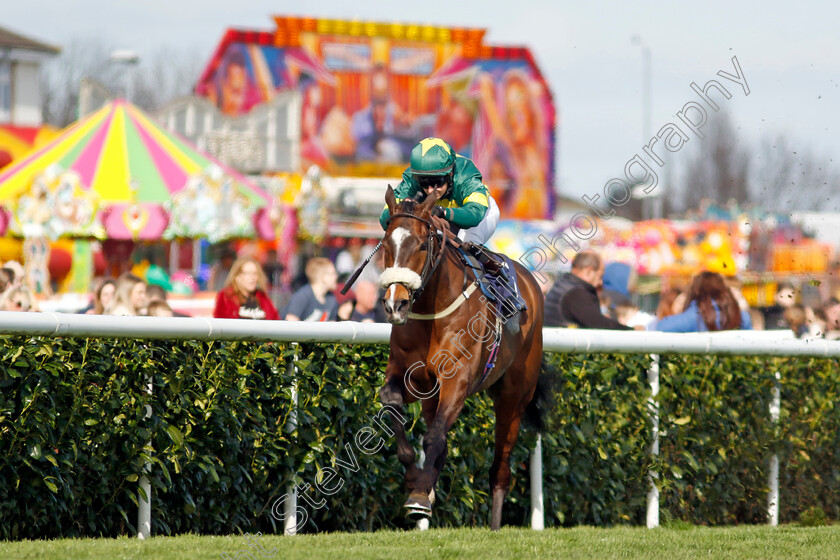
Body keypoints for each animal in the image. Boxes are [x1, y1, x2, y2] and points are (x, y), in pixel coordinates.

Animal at [378, 187, 544, 528]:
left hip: (514, 397)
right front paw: (416, 483)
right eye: (386, 243)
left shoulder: (457, 381)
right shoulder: (411, 378)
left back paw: (494, 524)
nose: (395, 304)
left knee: (501, 468)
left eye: (422, 244)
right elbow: (393, 404)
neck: (431, 310)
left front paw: (419, 496)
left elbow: (434, 437)